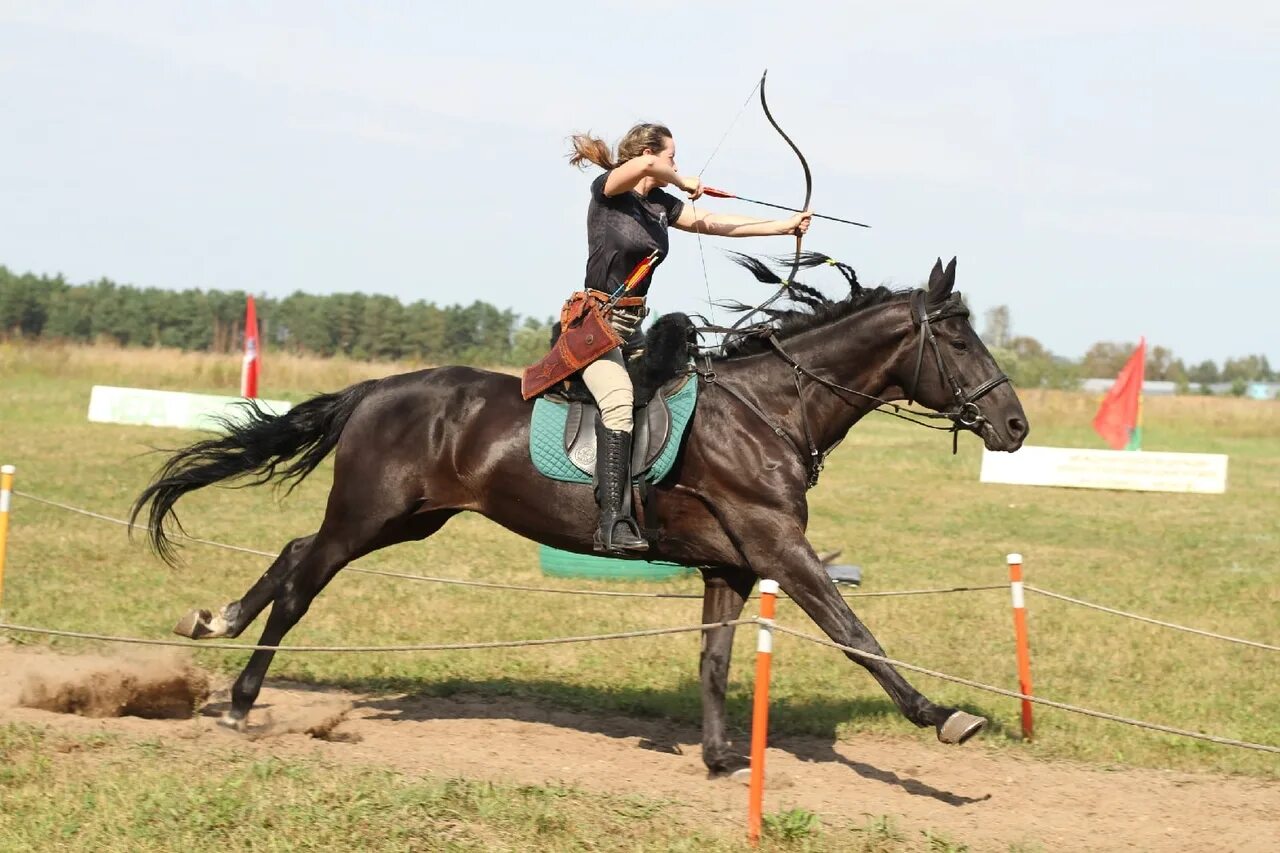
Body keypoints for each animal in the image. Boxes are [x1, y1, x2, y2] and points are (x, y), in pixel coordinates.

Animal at [132, 252, 1029, 768]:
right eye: (958, 339)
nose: (1016, 426)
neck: (772, 410)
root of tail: (378, 388)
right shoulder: (779, 547)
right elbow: (855, 632)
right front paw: (942, 715)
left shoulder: (732, 565)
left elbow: (715, 660)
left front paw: (717, 757)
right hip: (369, 513)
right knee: (301, 582)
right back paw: (240, 700)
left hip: (405, 517)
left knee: (292, 551)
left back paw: (213, 621)